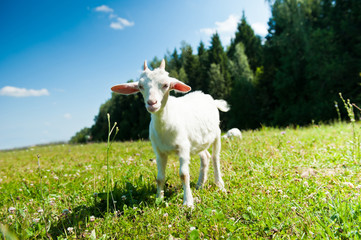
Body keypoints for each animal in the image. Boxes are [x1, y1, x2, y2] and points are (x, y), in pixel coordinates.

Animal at [110, 59, 228, 206]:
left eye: (166, 85)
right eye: (140, 86)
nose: (152, 103)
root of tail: (210, 99)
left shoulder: (183, 148)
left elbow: (184, 174)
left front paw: (188, 202)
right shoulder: (159, 151)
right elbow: (160, 177)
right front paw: (159, 199)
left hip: (217, 133)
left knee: (215, 158)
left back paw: (220, 185)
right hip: (197, 142)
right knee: (205, 157)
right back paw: (200, 184)